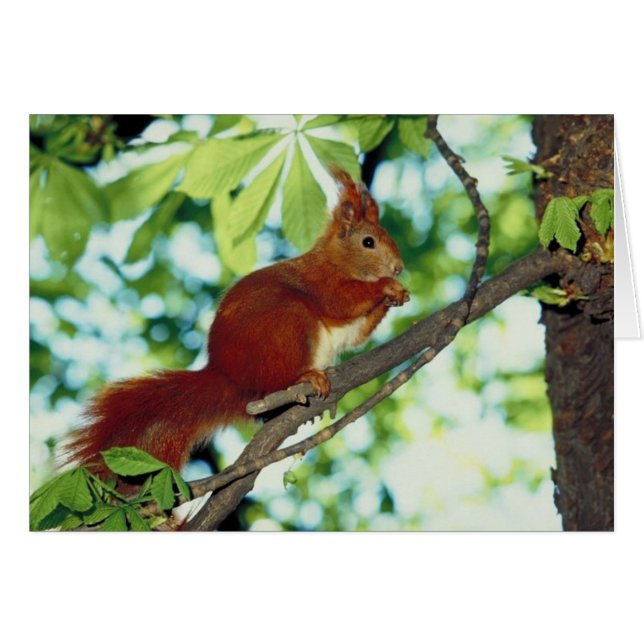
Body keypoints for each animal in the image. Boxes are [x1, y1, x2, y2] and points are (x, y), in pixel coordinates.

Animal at [65, 167, 410, 481]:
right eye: (368, 242)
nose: (398, 268)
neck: (338, 261)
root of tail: (229, 377)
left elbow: (357, 335)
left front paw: (397, 296)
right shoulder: (321, 282)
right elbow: (342, 301)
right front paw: (387, 287)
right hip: (287, 324)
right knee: (277, 377)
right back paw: (306, 377)